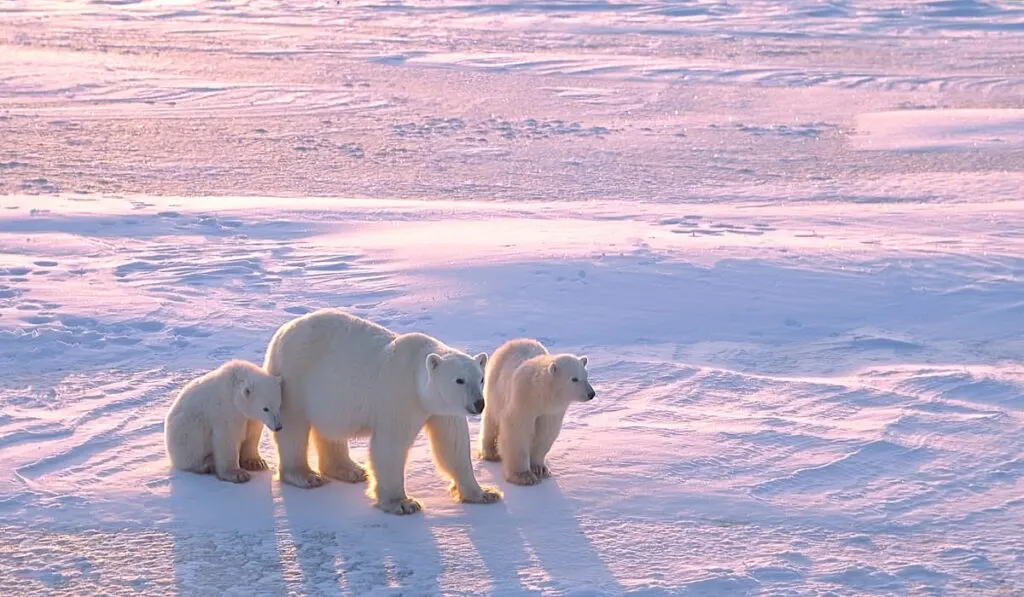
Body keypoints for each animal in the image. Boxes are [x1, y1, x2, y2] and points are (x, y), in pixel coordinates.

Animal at [264, 309, 503, 514]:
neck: (416, 375)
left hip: (328, 395)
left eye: (481, 378)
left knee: (331, 429)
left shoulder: (442, 409)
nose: (479, 404)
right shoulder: (400, 396)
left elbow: (453, 444)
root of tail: (281, 332)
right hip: (295, 378)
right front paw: (403, 503)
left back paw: (351, 470)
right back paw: (305, 475)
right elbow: (391, 445)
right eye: (459, 380)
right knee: (293, 427)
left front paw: (485, 493)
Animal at [481, 335, 598, 485]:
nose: (591, 394)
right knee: (491, 418)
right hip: (495, 385)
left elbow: (545, 433)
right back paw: (490, 453)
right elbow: (517, 430)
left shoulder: (551, 412)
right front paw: (523, 476)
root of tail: (516, 340)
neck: (540, 395)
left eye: (586, 376)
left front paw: (539, 469)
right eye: (574, 379)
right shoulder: (523, 400)